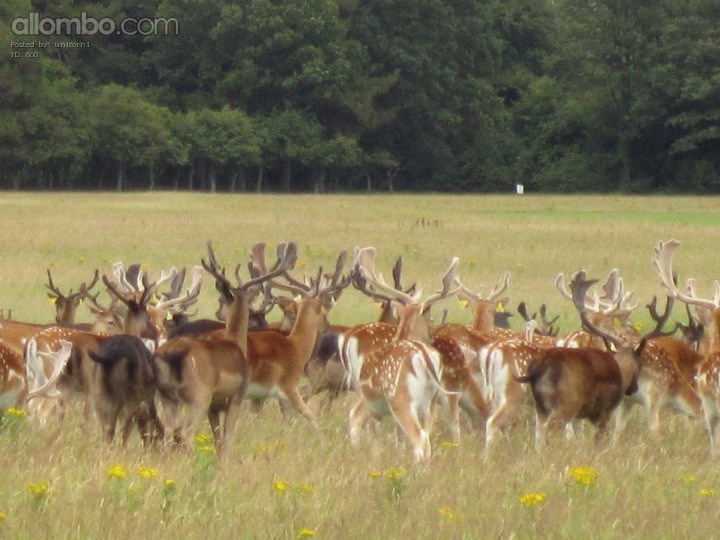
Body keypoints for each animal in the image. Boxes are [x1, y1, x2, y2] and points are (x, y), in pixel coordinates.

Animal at [152, 241, 297, 454]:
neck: (236, 342)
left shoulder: (215, 407)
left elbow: (218, 440)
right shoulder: (236, 398)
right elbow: (227, 438)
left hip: (167, 396)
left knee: (168, 434)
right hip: (199, 396)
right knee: (186, 434)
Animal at [347, 247, 461, 462]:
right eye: (430, 318)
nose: (431, 336)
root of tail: (423, 356)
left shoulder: (370, 401)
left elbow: (359, 422)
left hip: (402, 400)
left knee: (418, 438)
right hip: (429, 403)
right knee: (426, 438)